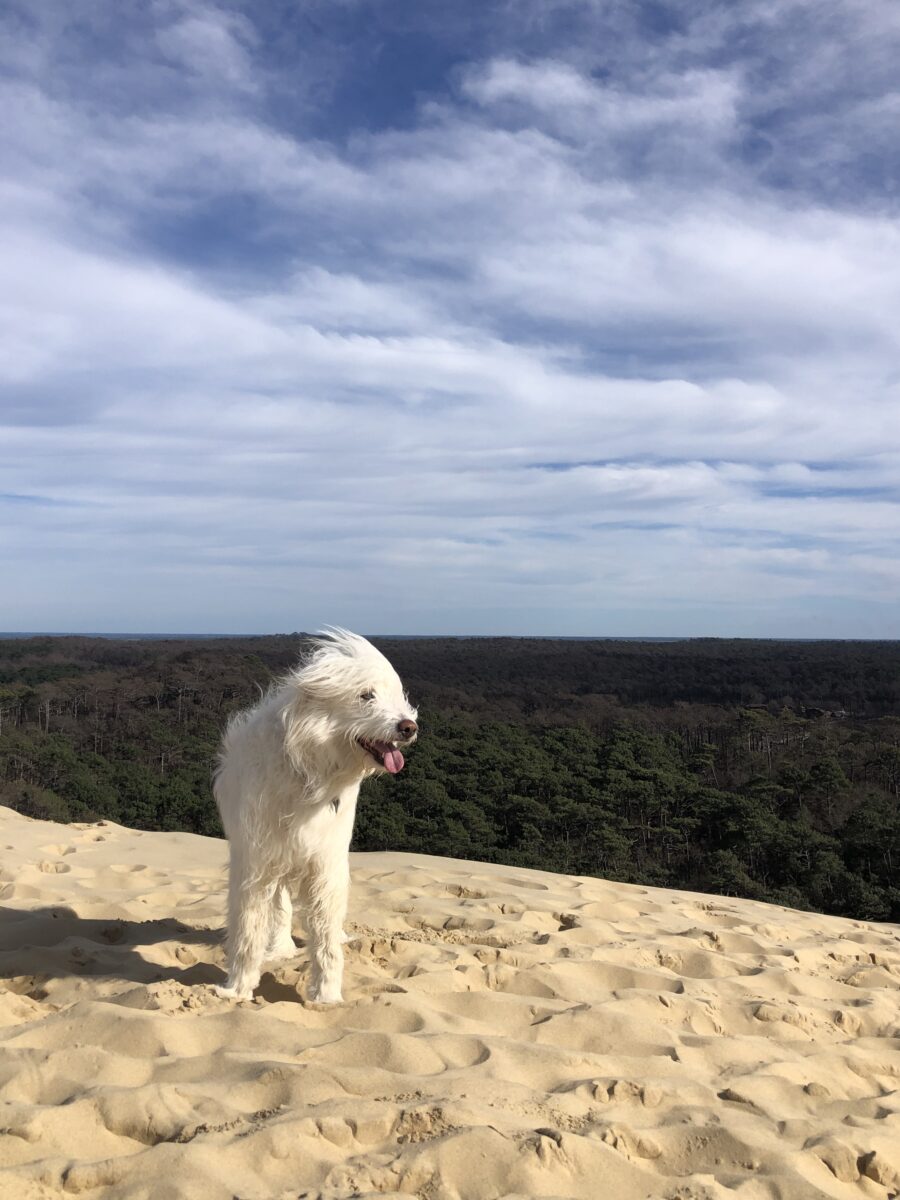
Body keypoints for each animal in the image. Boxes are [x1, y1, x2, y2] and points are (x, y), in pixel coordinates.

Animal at [213, 628, 420, 1003]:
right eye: (366, 695)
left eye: (397, 694)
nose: (408, 727)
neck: (308, 771)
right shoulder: (255, 861)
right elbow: (249, 927)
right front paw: (237, 987)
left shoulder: (326, 862)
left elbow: (325, 936)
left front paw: (327, 995)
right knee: (279, 909)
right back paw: (278, 949)